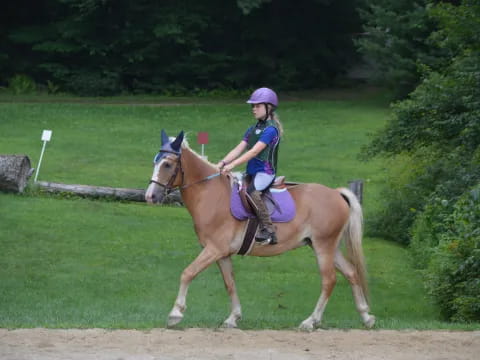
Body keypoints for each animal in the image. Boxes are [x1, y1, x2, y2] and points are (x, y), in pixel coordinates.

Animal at [144, 131, 376, 330]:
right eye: (155, 161)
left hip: (323, 246)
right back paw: (366, 316)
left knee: (329, 280)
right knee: (351, 273)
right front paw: (233, 318)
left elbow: (187, 273)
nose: (150, 196)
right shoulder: (222, 254)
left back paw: (311, 321)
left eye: (167, 164)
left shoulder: (214, 249)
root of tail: (336, 194)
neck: (211, 195)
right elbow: (230, 283)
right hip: (327, 246)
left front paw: (175, 314)